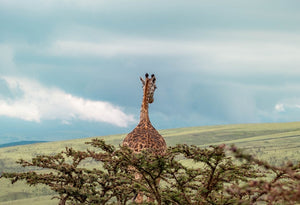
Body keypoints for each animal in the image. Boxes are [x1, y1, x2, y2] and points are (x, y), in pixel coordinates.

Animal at [123, 73, 168, 203]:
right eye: (156, 87)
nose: (152, 100)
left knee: (143, 196)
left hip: (140, 171)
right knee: (150, 196)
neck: (144, 121)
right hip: (152, 172)